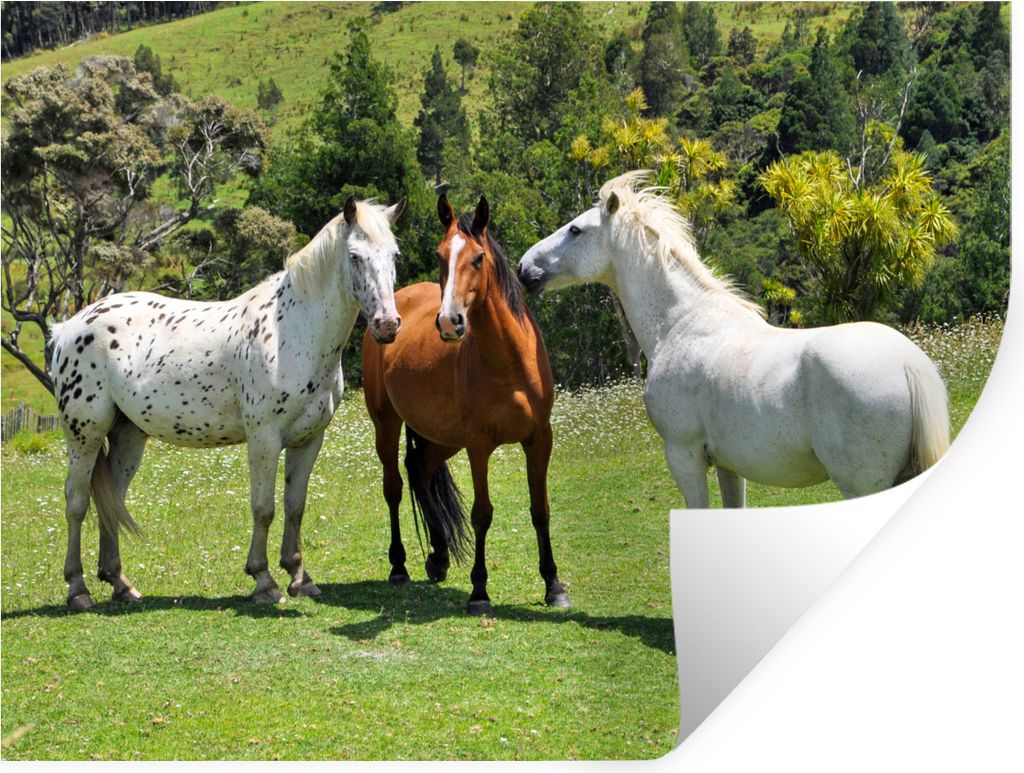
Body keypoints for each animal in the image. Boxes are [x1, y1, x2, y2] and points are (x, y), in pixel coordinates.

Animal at [49, 195, 406, 609]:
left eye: (393, 255)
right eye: (355, 256)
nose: (387, 325)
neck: (292, 331)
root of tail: (69, 326)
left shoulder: (308, 440)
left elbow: (295, 506)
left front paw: (300, 577)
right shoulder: (264, 439)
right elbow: (264, 508)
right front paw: (263, 580)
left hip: (127, 437)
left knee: (112, 501)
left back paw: (120, 583)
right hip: (84, 436)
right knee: (76, 502)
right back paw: (78, 590)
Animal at [362, 193, 570, 616]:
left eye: (477, 257)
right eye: (440, 255)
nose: (449, 322)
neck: (510, 361)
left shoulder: (540, 439)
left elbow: (540, 510)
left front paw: (553, 585)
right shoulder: (478, 446)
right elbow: (482, 514)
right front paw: (479, 592)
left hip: (443, 437)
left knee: (420, 469)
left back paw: (439, 557)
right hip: (387, 425)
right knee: (394, 488)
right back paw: (399, 566)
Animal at [517, 171, 950, 508]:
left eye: (576, 230)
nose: (524, 269)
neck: (681, 322)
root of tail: (908, 363)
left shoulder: (684, 456)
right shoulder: (729, 465)